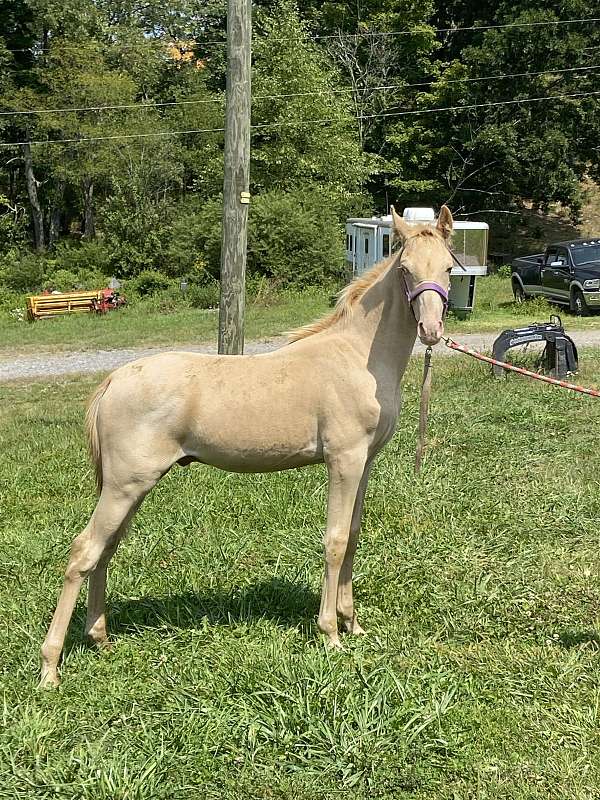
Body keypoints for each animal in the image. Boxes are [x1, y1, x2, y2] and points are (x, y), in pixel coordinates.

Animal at [41, 203, 454, 684]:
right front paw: (330, 633)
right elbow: (334, 540)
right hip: (125, 485)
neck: (356, 356)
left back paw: (100, 639)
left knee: (106, 549)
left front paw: (353, 624)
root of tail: (113, 380)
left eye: (448, 268)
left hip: (129, 487)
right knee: (83, 551)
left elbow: (352, 535)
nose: (430, 330)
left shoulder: (364, 463)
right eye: (405, 270)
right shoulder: (343, 460)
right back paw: (50, 667)